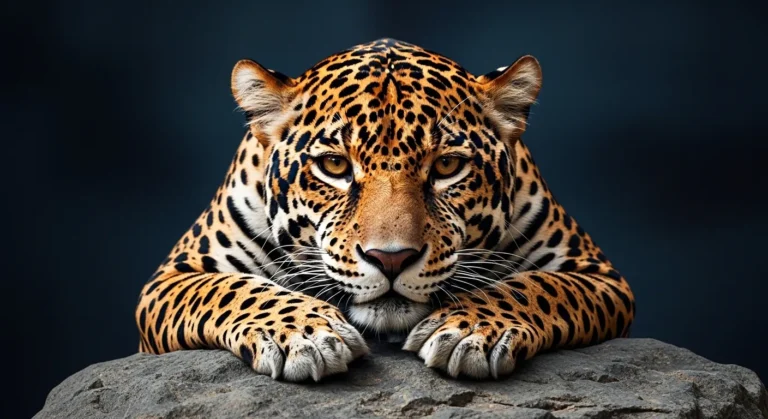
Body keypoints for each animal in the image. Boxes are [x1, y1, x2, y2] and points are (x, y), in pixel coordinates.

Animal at [135, 38, 635, 381]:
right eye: (334, 165)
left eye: (447, 166)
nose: (390, 259)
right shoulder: (169, 280)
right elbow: (233, 290)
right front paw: (304, 334)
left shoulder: (599, 275)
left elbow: (535, 287)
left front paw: (471, 329)